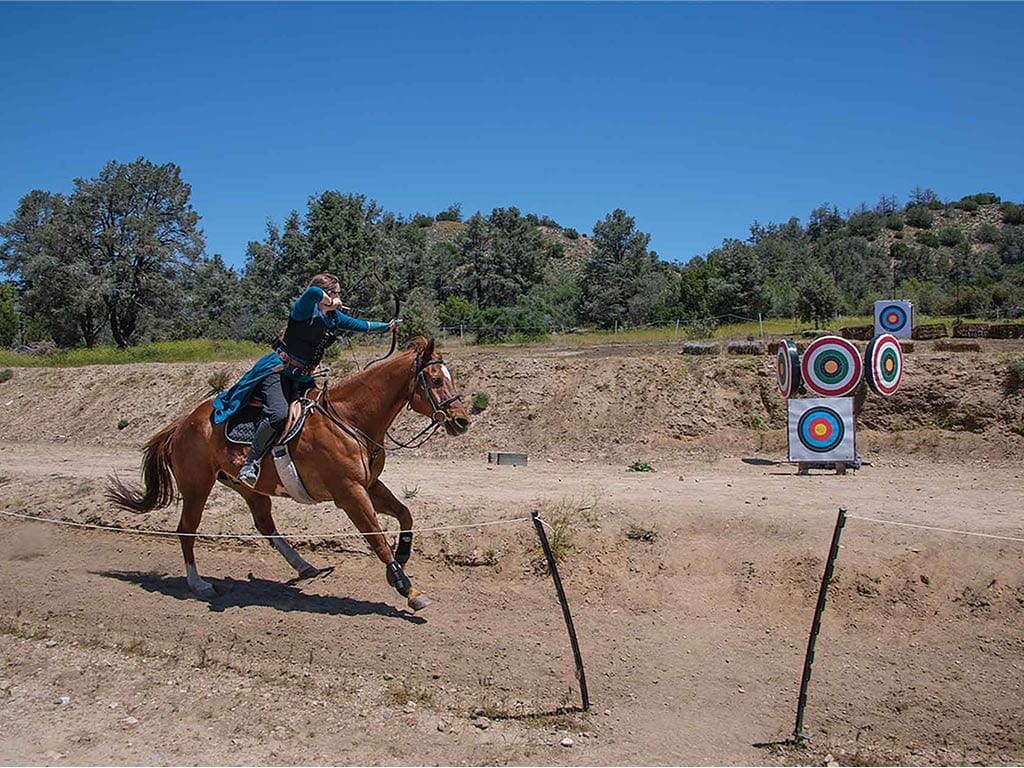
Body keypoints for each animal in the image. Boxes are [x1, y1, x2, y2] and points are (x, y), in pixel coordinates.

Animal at [107, 335, 468, 614]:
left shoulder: (369, 485)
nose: (462, 420)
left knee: (265, 526)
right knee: (186, 529)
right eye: (436, 380)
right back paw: (198, 583)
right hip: (197, 487)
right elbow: (377, 539)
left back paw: (303, 566)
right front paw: (407, 587)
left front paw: (403, 555)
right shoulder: (350, 493)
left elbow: (405, 514)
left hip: (249, 489)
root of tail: (182, 423)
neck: (350, 420)